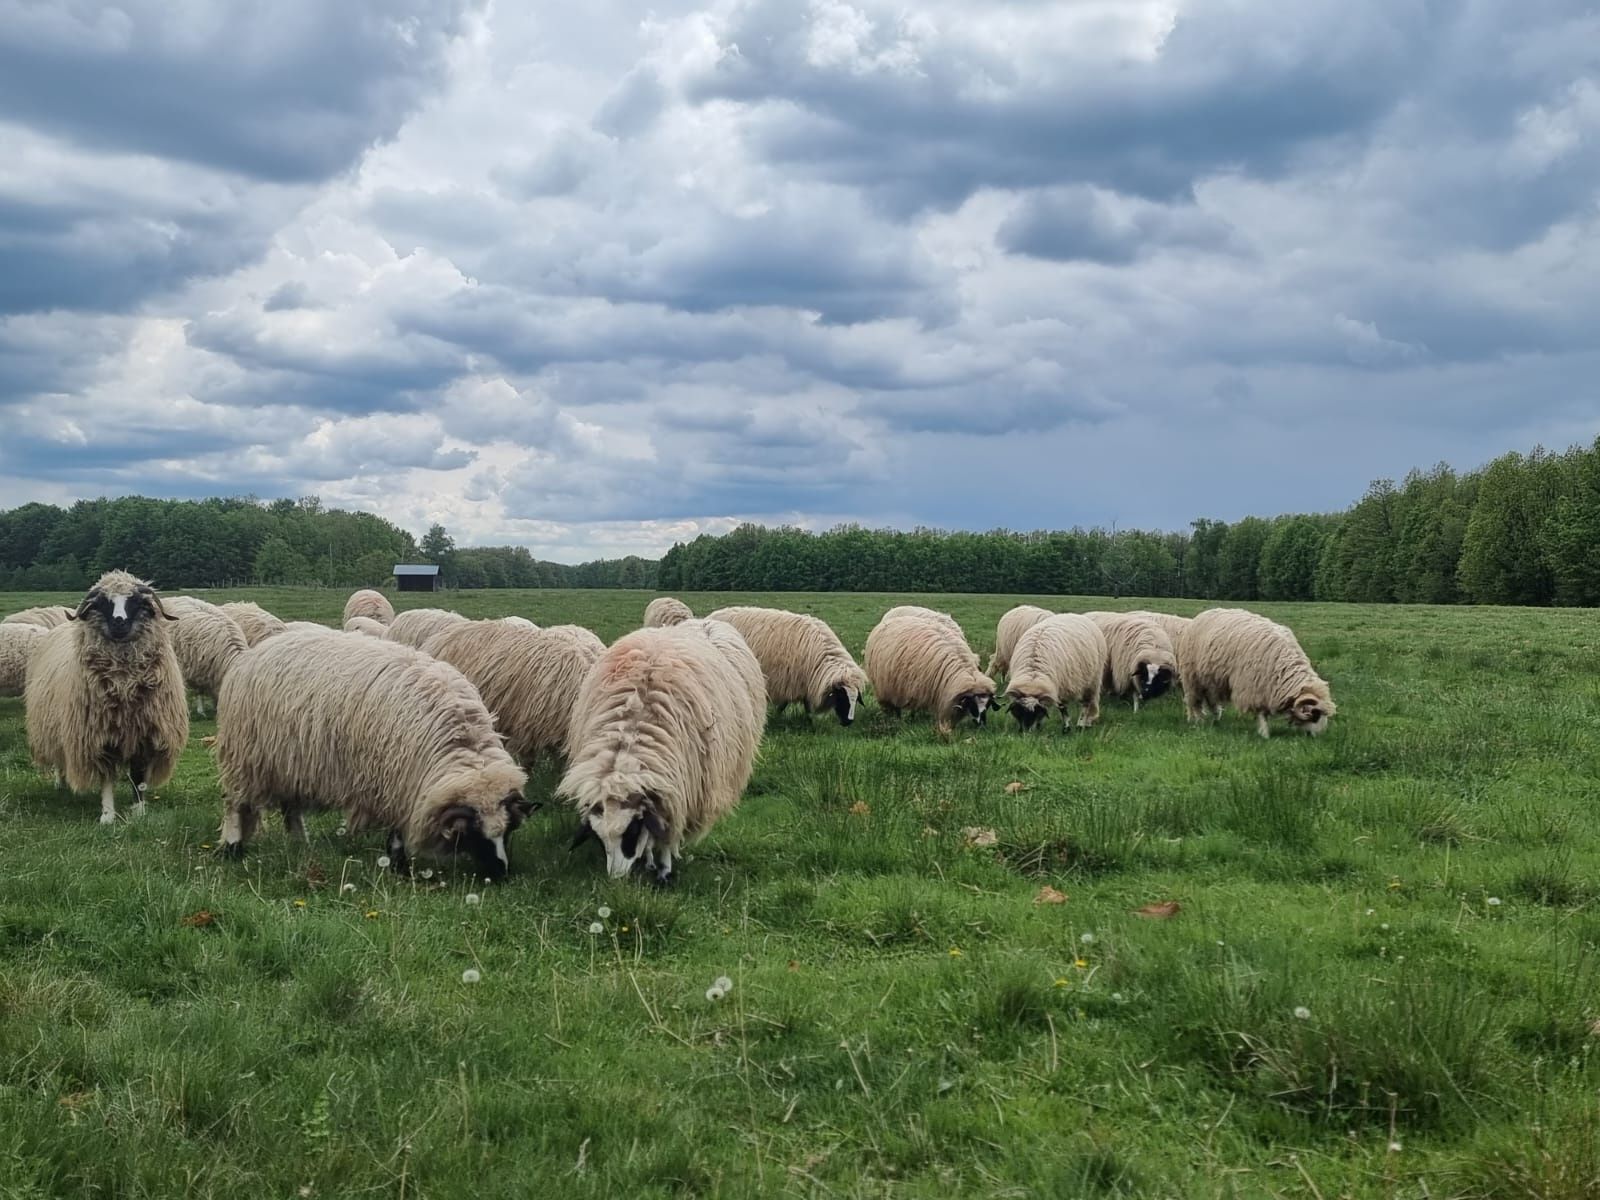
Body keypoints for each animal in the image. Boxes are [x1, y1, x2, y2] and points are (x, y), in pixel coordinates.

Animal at [24, 576, 188, 825]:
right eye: (102, 603)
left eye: (136, 601)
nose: (119, 623)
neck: (124, 685)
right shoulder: (98, 738)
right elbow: (107, 779)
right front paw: (108, 815)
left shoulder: (144, 735)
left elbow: (138, 777)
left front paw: (139, 811)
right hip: (56, 729)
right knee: (60, 760)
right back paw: (61, 784)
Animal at [214, 633, 531, 876]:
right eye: (475, 833)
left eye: (509, 830)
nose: (501, 872)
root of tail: (257, 650)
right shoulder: (395, 782)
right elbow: (398, 828)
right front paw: (399, 865)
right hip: (244, 757)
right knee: (234, 803)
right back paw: (232, 845)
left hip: (289, 762)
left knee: (291, 808)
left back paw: (300, 843)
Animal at [560, 624, 764, 889]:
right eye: (599, 837)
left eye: (631, 830)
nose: (616, 879)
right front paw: (649, 861)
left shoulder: (678, 792)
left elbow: (666, 833)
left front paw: (664, 870)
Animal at [1177, 604, 1337, 739]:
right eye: (1315, 715)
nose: (1316, 737)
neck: (1283, 669)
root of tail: (1204, 613)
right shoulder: (1254, 687)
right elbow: (1261, 713)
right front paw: (1264, 734)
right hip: (1192, 676)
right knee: (1193, 700)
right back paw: (1196, 720)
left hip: (1212, 679)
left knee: (1210, 699)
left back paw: (1216, 718)